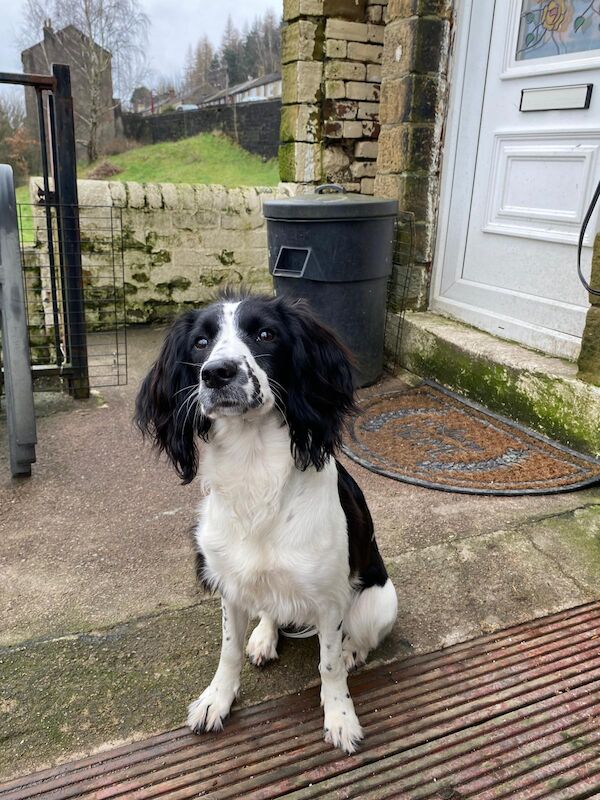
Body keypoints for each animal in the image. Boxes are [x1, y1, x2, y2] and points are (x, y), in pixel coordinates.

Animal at [137, 290, 398, 752]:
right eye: (200, 343)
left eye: (265, 334)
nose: (216, 373)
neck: (254, 469)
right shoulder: (229, 582)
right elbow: (228, 650)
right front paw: (216, 699)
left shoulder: (330, 600)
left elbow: (329, 665)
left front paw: (340, 717)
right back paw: (263, 635)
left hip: (382, 601)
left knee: (358, 638)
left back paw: (352, 649)